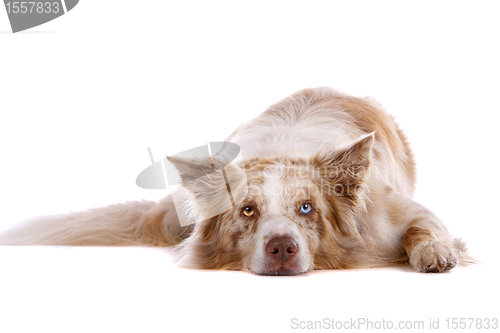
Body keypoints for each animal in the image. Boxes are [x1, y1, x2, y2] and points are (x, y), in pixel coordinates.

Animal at [0, 87, 472, 274]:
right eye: (247, 211)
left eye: (307, 209)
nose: (282, 248)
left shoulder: (397, 214)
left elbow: (424, 228)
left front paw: (435, 252)